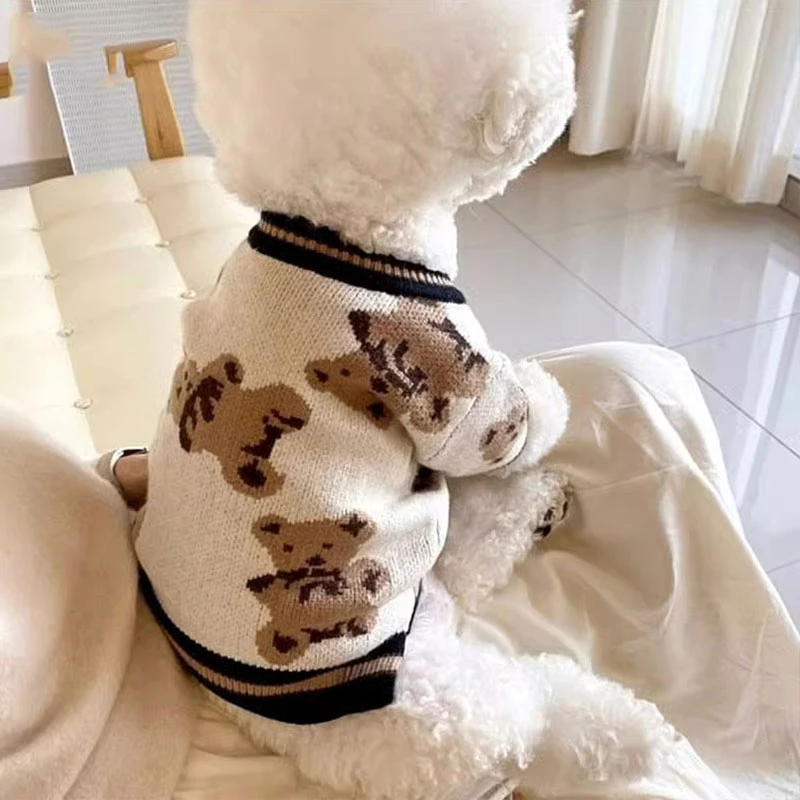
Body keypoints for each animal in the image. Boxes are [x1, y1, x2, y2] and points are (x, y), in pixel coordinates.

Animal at [246, 512, 391, 665]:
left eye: (329, 545)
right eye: (287, 548)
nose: (314, 559)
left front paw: (371, 575)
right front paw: (259, 583)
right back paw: (283, 642)